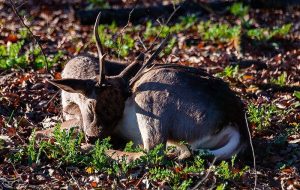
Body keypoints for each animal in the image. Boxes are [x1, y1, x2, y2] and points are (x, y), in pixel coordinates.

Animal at [38, 11, 251, 160]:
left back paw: (89, 148)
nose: (94, 137)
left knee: (152, 152)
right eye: (92, 106)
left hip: (151, 100)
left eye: (117, 112)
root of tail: (236, 125)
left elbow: (41, 131)